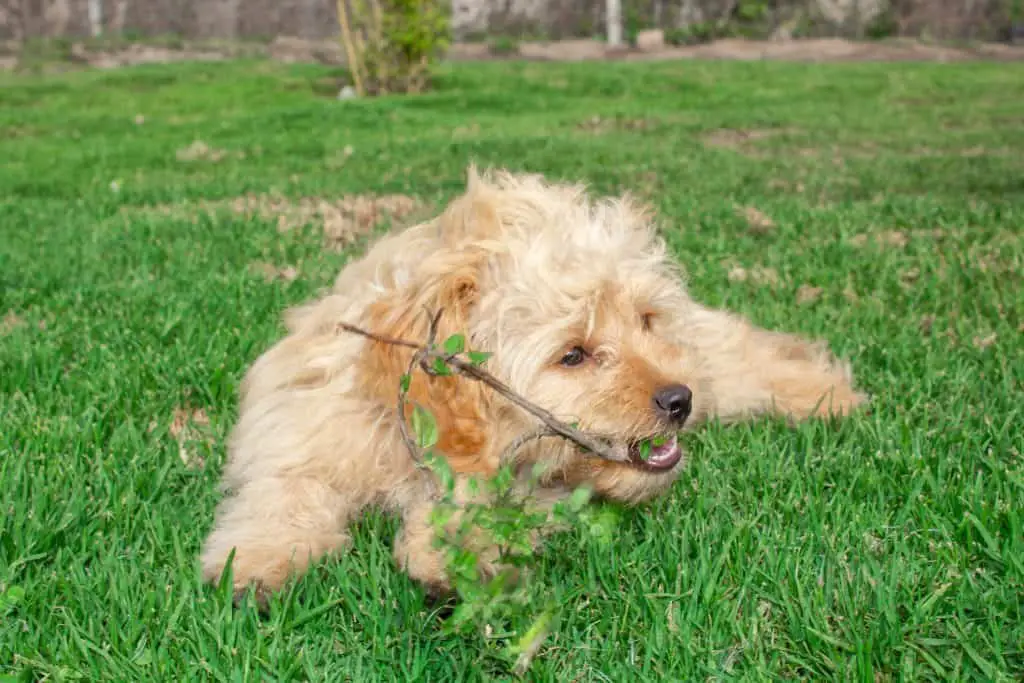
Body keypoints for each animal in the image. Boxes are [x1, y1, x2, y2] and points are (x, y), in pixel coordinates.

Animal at [197, 167, 864, 602]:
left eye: (645, 321)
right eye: (573, 355)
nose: (678, 401)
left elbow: (484, 508)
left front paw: (449, 554)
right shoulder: (304, 428)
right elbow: (285, 490)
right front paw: (256, 561)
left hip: (705, 357)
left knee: (741, 354)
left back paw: (826, 394)